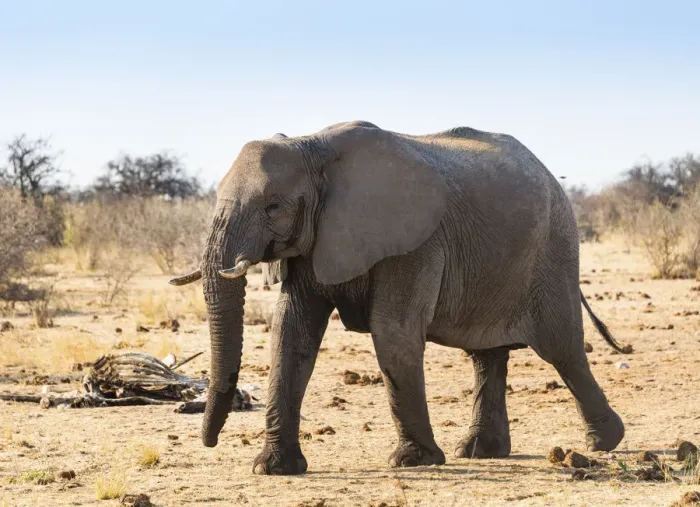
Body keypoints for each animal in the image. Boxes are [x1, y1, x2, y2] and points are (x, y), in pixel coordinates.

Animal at [169, 120, 625, 475]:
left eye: (273, 206)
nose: (209, 442)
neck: (312, 144)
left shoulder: (414, 242)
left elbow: (392, 331)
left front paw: (414, 461)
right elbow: (291, 333)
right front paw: (273, 468)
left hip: (553, 249)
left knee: (561, 349)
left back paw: (604, 442)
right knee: (486, 355)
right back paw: (480, 452)